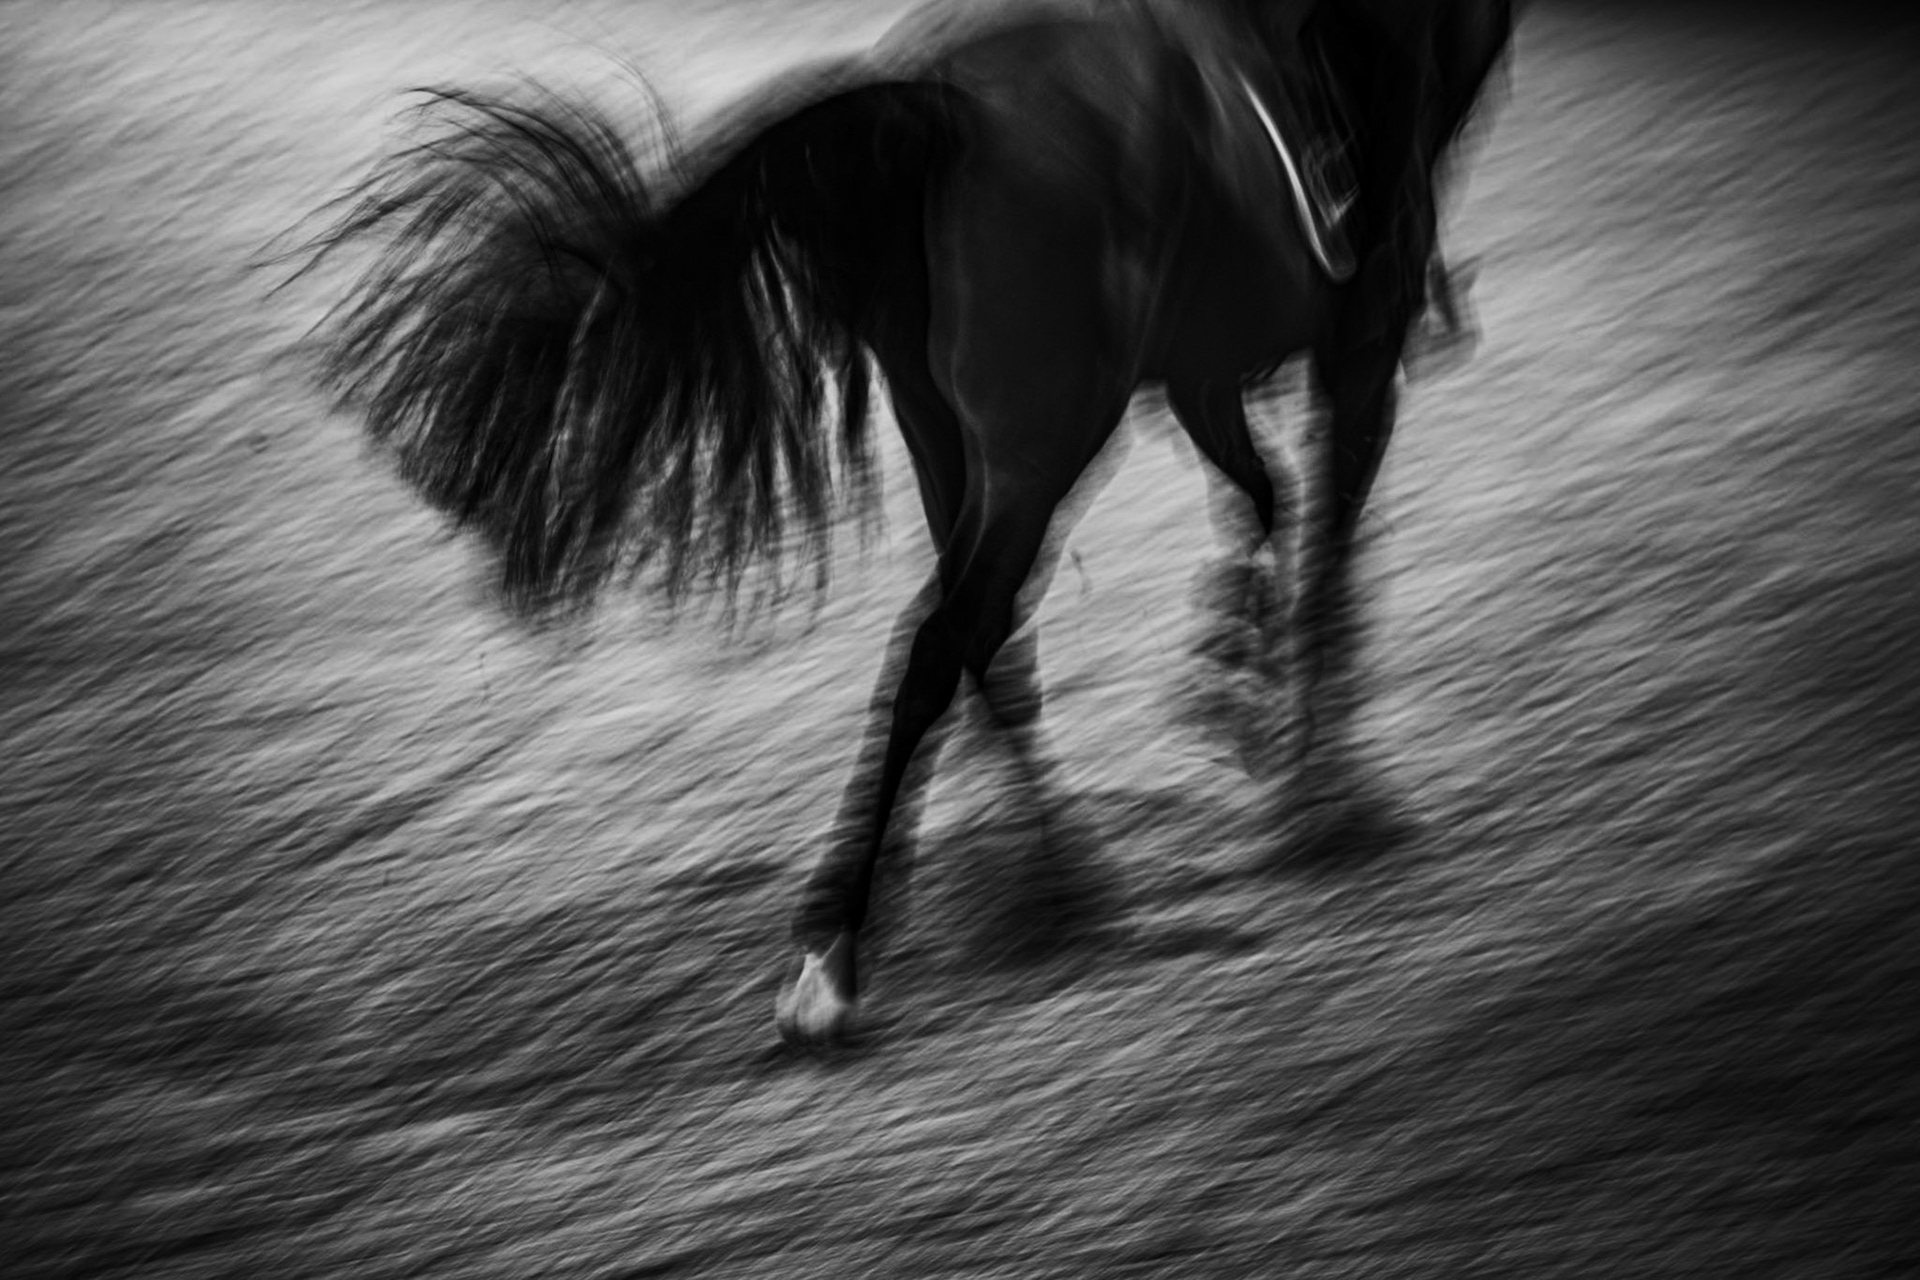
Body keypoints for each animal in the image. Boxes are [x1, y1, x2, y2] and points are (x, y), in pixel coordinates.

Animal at [302, 0, 1512, 1045]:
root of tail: (938, 101)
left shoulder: (1204, 372)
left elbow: (1266, 504)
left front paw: (1240, 677)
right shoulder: (1358, 345)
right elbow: (1328, 550)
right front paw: (1324, 790)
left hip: (953, 435)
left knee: (987, 638)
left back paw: (1050, 886)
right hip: (1040, 445)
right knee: (948, 639)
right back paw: (848, 955)